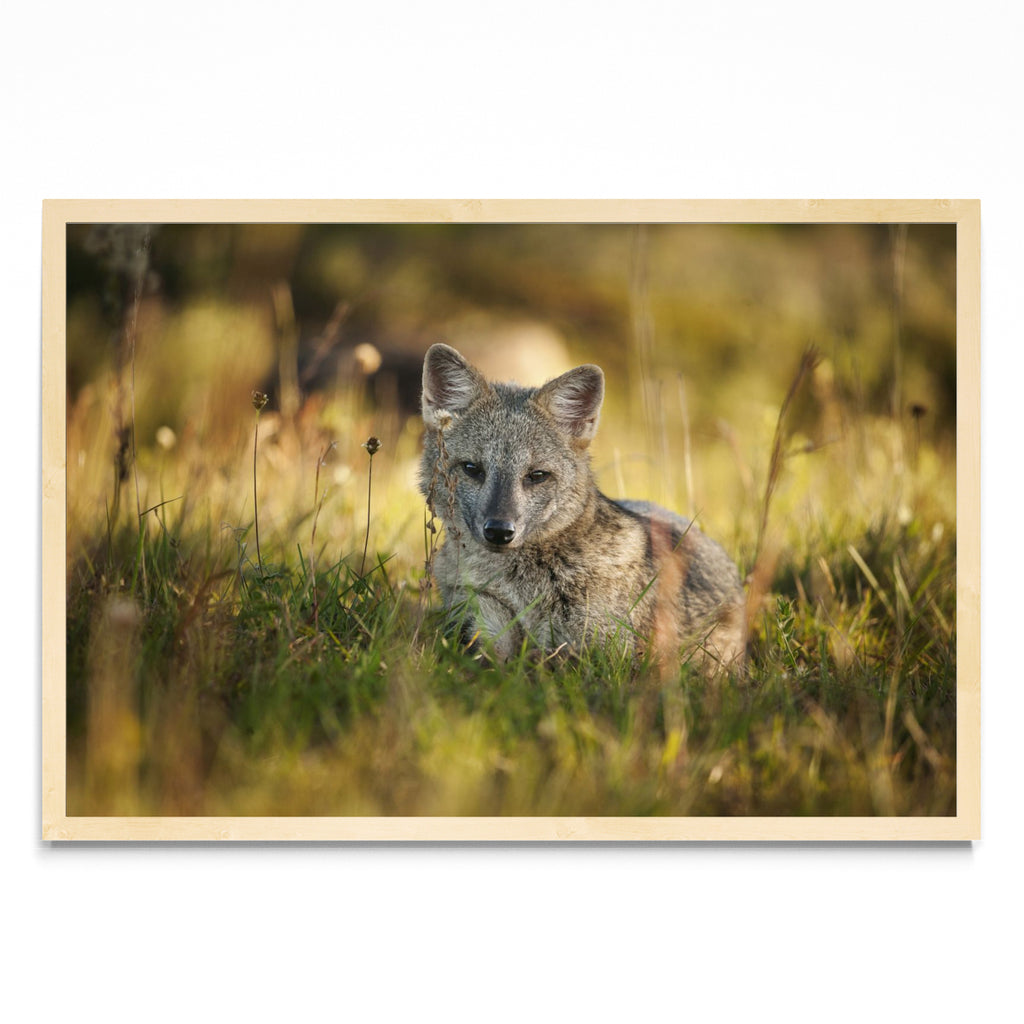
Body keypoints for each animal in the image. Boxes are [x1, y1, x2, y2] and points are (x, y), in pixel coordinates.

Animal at [419, 343, 746, 672]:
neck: (522, 589)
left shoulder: (607, 654)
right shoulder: (480, 626)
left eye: (536, 475)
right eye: (472, 469)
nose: (499, 531)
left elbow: (546, 660)